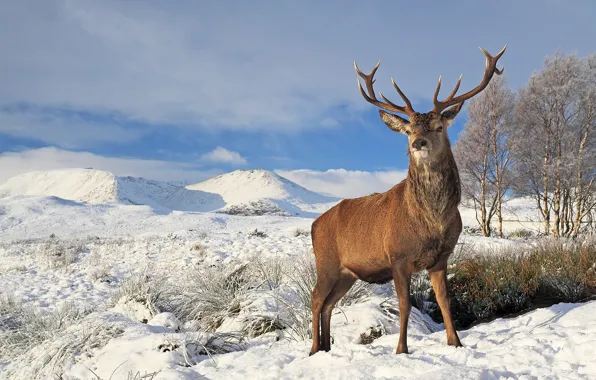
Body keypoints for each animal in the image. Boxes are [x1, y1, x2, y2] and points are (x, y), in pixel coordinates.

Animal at [310, 46, 506, 354]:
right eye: (409, 130)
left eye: (439, 127)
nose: (418, 143)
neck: (432, 221)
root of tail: (314, 225)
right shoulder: (398, 257)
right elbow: (405, 305)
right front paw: (401, 349)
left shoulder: (441, 258)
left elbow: (444, 301)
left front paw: (455, 342)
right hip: (326, 262)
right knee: (316, 298)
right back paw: (313, 349)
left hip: (347, 273)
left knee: (329, 303)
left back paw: (327, 349)